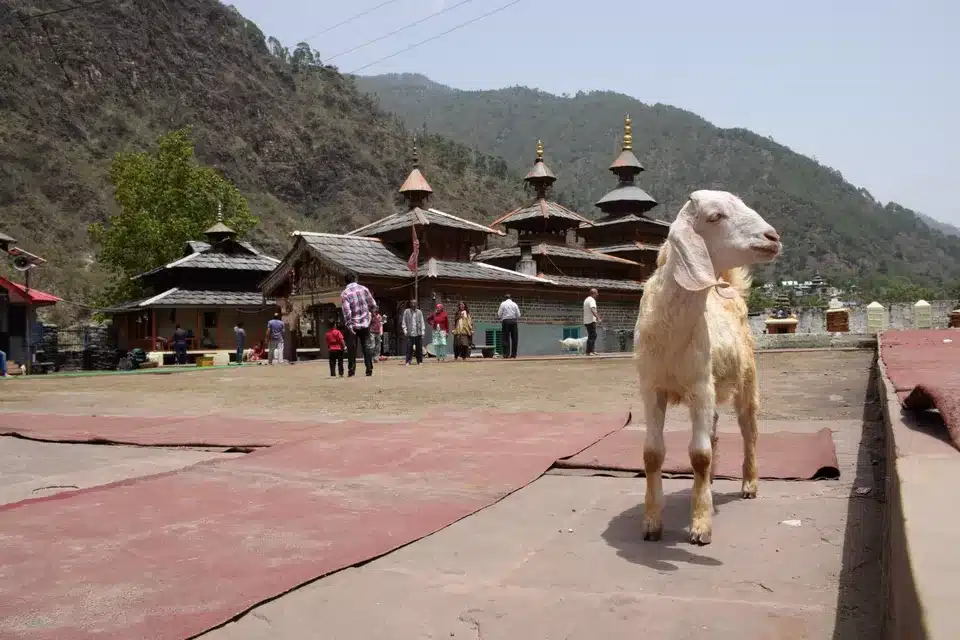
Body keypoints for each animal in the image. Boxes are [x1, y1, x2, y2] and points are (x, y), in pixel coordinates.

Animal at [636, 190, 780, 544]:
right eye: (715, 216)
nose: (772, 237)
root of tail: (730, 288)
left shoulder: (700, 387)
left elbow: (699, 455)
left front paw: (701, 527)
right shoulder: (651, 387)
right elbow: (652, 453)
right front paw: (651, 523)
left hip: (747, 382)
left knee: (750, 431)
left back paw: (749, 485)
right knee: (714, 434)